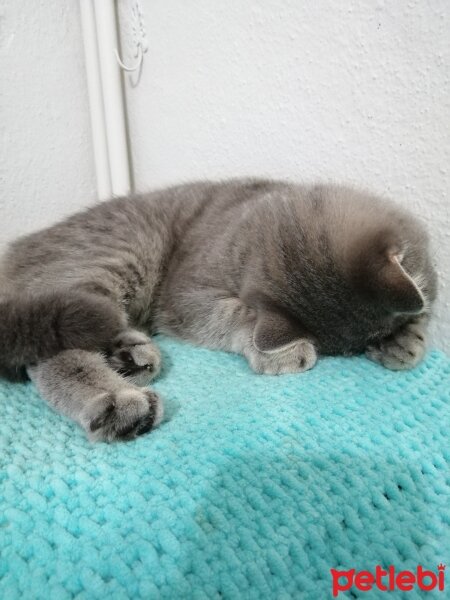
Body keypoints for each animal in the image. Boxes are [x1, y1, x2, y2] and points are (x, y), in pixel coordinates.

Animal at [0, 178, 436, 440]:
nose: (382, 341)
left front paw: (406, 341)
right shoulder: (185, 296)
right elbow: (235, 316)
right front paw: (279, 352)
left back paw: (129, 355)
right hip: (112, 257)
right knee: (53, 352)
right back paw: (118, 402)